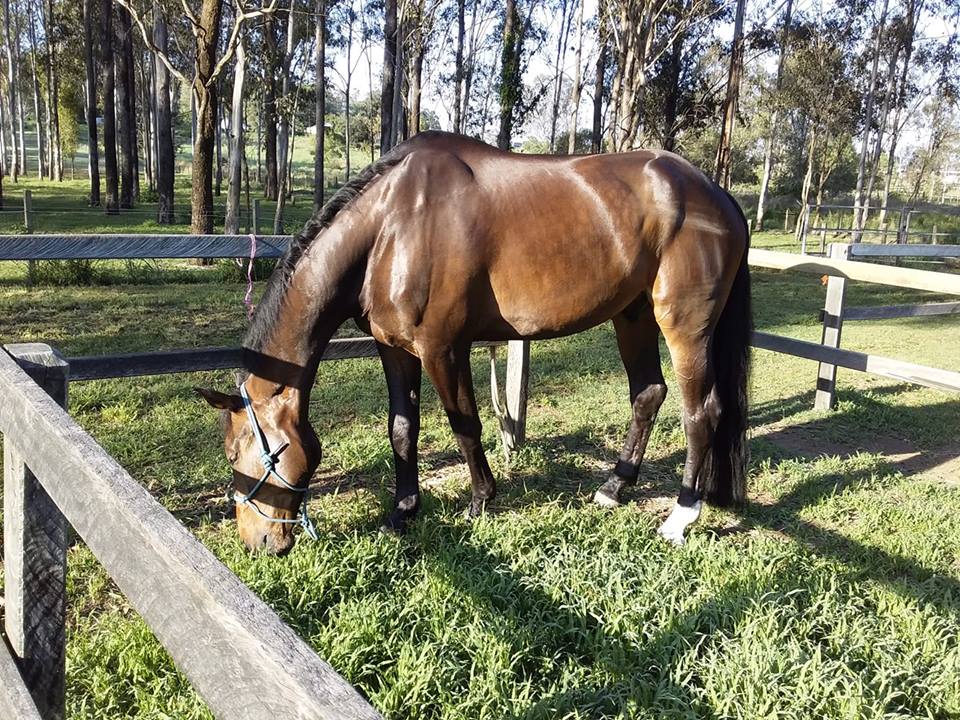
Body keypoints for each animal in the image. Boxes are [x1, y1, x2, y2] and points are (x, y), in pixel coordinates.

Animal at [195, 132, 752, 556]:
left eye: (235, 453)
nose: (257, 543)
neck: (392, 225)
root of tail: (717, 192)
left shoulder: (443, 348)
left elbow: (465, 424)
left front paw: (482, 499)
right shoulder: (394, 349)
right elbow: (402, 430)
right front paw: (403, 511)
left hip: (684, 324)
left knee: (701, 411)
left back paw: (681, 516)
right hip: (632, 316)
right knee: (648, 394)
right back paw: (614, 487)